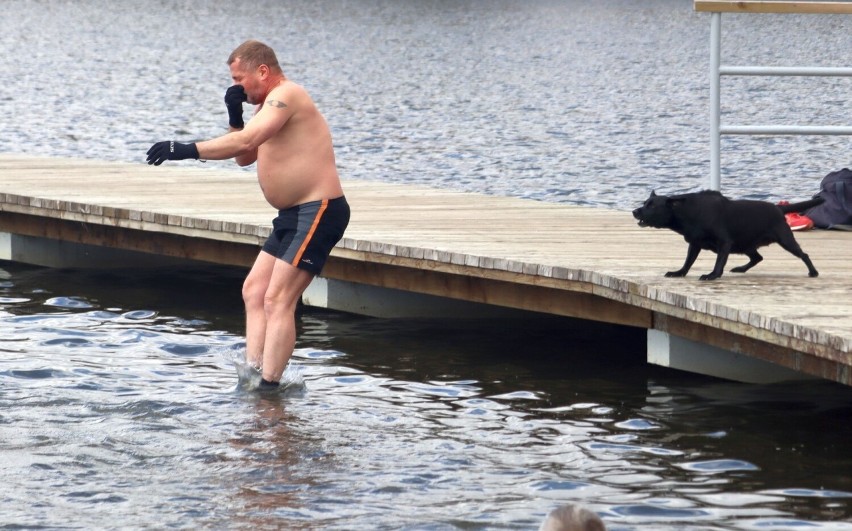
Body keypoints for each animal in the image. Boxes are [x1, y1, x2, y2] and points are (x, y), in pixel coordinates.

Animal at [632, 192, 824, 282]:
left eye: (652, 206)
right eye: (644, 203)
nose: (634, 211)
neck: (688, 212)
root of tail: (778, 208)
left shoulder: (724, 242)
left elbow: (719, 263)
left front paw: (711, 275)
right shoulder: (694, 244)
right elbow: (687, 262)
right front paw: (678, 272)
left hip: (785, 239)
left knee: (804, 255)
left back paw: (813, 272)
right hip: (746, 245)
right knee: (758, 257)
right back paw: (740, 269)